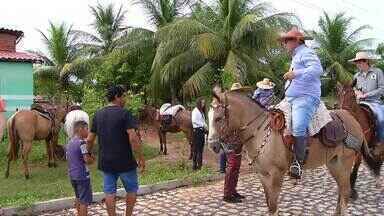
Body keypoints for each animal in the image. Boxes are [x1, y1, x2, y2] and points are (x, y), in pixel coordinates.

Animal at [208, 87, 374, 214]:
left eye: (218, 118)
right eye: (208, 116)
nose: (212, 145)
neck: (261, 132)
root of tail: (352, 118)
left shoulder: (276, 175)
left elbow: (273, 206)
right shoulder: (262, 175)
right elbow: (269, 204)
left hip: (344, 164)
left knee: (345, 193)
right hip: (334, 164)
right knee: (341, 192)